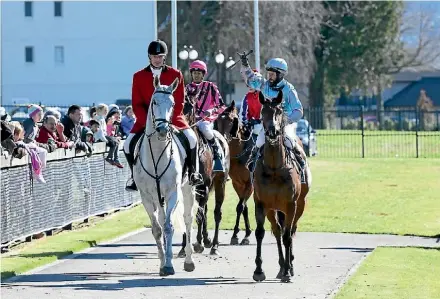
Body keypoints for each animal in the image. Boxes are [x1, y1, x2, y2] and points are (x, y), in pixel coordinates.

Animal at [133, 76, 197, 278]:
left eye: (173, 103)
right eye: (154, 102)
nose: (162, 130)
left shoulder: (172, 193)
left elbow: (169, 227)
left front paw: (169, 265)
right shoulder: (147, 196)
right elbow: (157, 229)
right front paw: (162, 263)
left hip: (187, 189)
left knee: (187, 219)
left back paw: (189, 260)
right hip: (157, 197)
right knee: (161, 220)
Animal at [177, 93, 230, 255]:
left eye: (189, 106)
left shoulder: (205, 185)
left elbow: (200, 216)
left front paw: (198, 244)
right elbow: (187, 215)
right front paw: (184, 247)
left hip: (219, 183)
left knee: (216, 213)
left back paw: (214, 245)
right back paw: (206, 240)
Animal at [217, 101, 254, 246]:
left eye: (232, 120)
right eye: (218, 120)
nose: (222, 137)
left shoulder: (250, 183)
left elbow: (240, 207)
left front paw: (239, 235)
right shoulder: (237, 183)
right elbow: (243, 207)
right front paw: (243, 233)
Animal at [253, 91, 312, 284]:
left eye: (279, 111)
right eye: (263, 111)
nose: (272, 131)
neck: (274, 168)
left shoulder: (291, 204)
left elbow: (288, 236)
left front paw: (287, 271)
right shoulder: (261, 203)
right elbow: (260, 233)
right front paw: (258, 270)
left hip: (299, 205)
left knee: (290, 231)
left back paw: (289, 266)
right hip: (273, 209)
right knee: (278, 231)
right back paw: (281, 267)